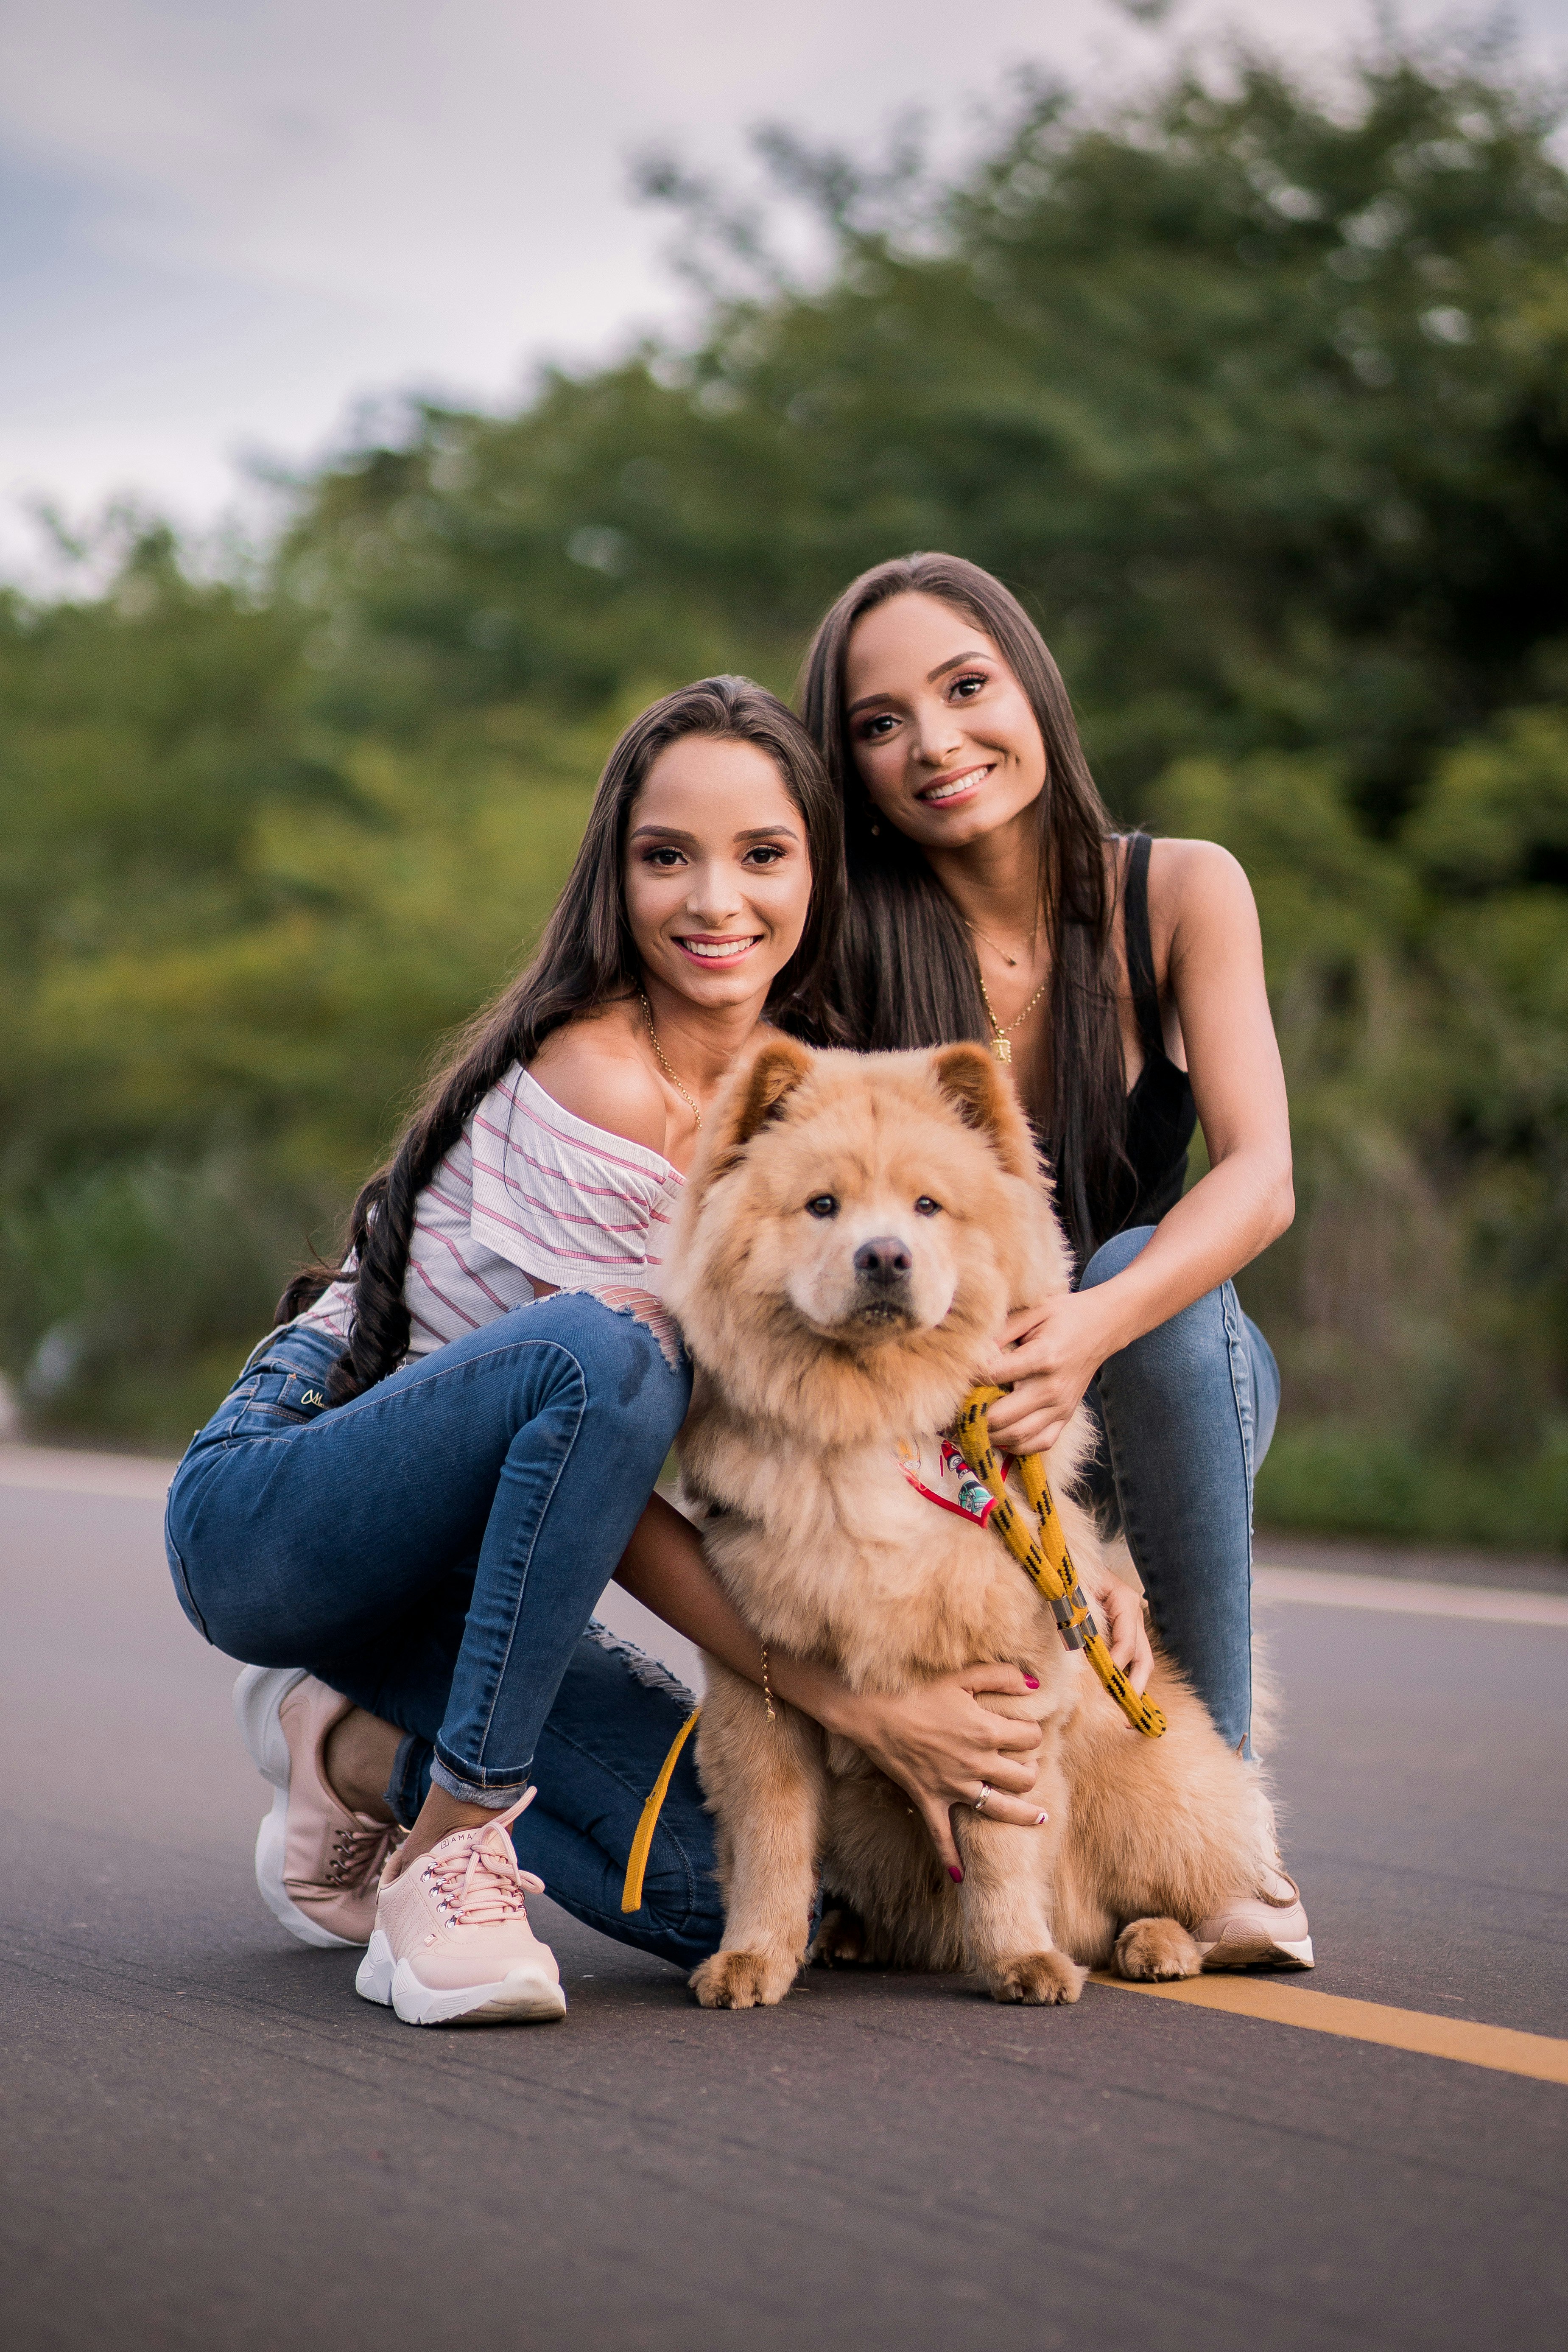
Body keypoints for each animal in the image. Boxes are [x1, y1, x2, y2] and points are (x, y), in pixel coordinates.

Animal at [658, 1039, 1279, 2013]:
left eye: (927, 1206)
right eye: (822, 1205)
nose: (883, 1256)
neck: (877, 1414)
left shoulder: (1005, 1691)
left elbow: (999, 1843)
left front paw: (1023, 1960)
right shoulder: (758, 1688)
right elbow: (771, 1845)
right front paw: (752, 1960)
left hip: (1150, 1793)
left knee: (1166, 1892)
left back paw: (1165, 1942)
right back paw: (850, 1935)